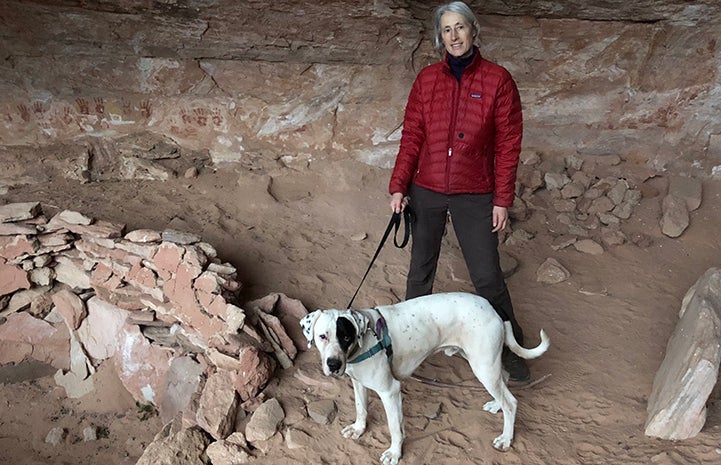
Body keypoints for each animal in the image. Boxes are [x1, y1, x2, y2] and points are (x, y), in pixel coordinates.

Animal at [300, 292, 548, 462]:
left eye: (345, 337)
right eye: (322, 336)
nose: (333, 364)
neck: (364, 340)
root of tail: (492, 305)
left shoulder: (390, 391)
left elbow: (394, 427)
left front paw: (394, 453)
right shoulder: (358, 383)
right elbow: (361, 409)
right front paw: (359, 429)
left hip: (483, 366)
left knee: (511, 402)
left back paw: (506, 438)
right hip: (484, 363)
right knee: (504, 379)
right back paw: (496, 405)